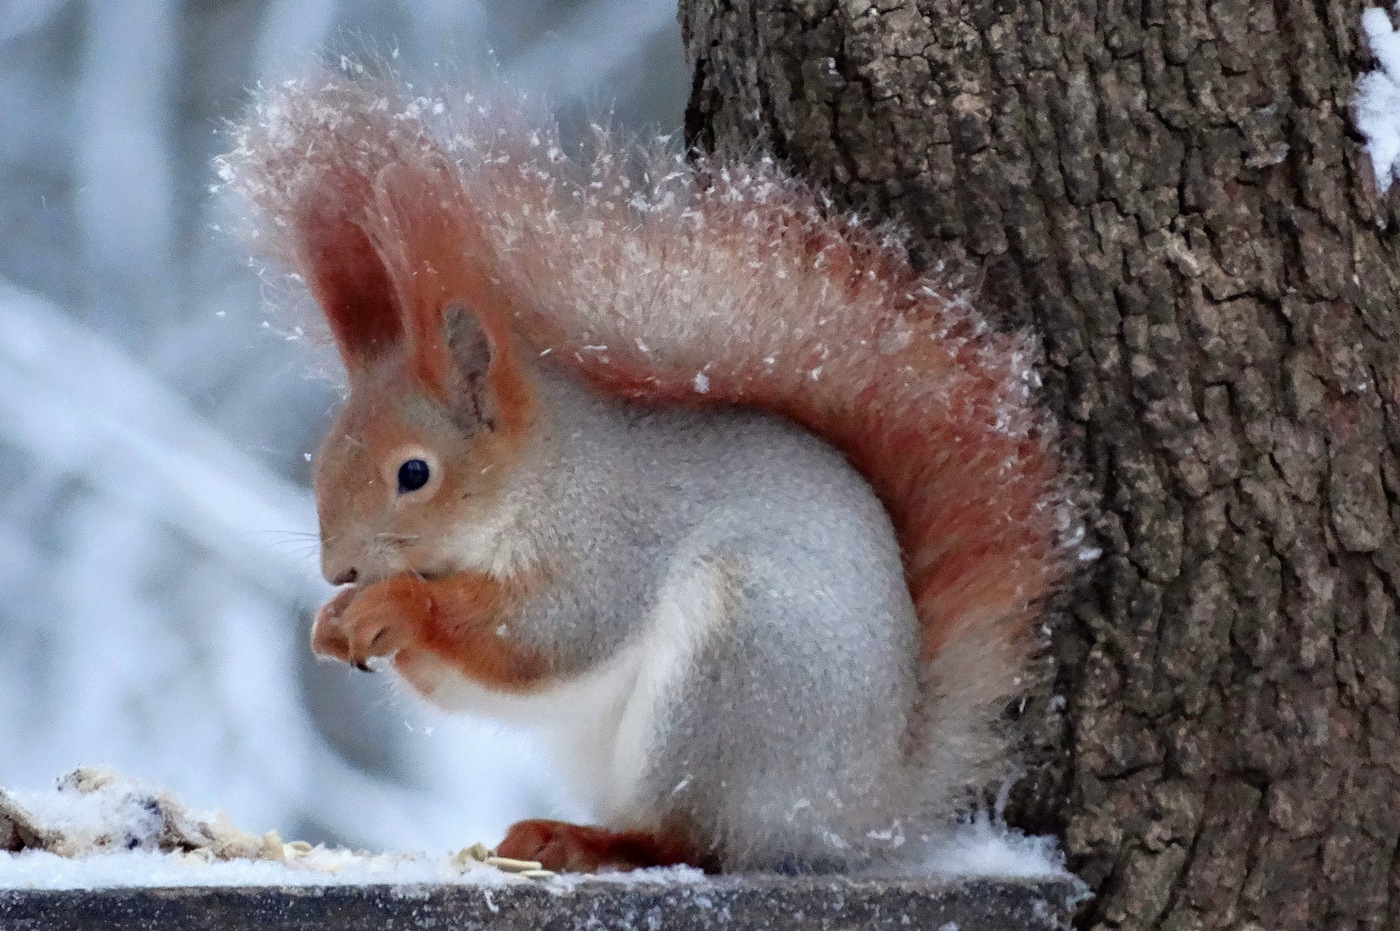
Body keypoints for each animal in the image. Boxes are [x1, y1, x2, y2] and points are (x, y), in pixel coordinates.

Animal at [221, 72, 1069, 873]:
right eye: (328, 454)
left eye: (414, 473)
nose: (339, 570)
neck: (546, 477)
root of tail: (859, 808)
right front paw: (335, 622)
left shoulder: (611, 542)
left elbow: (546, 635)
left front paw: (394, 605)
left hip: (729, 682)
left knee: (694, 841)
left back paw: (587, 843)